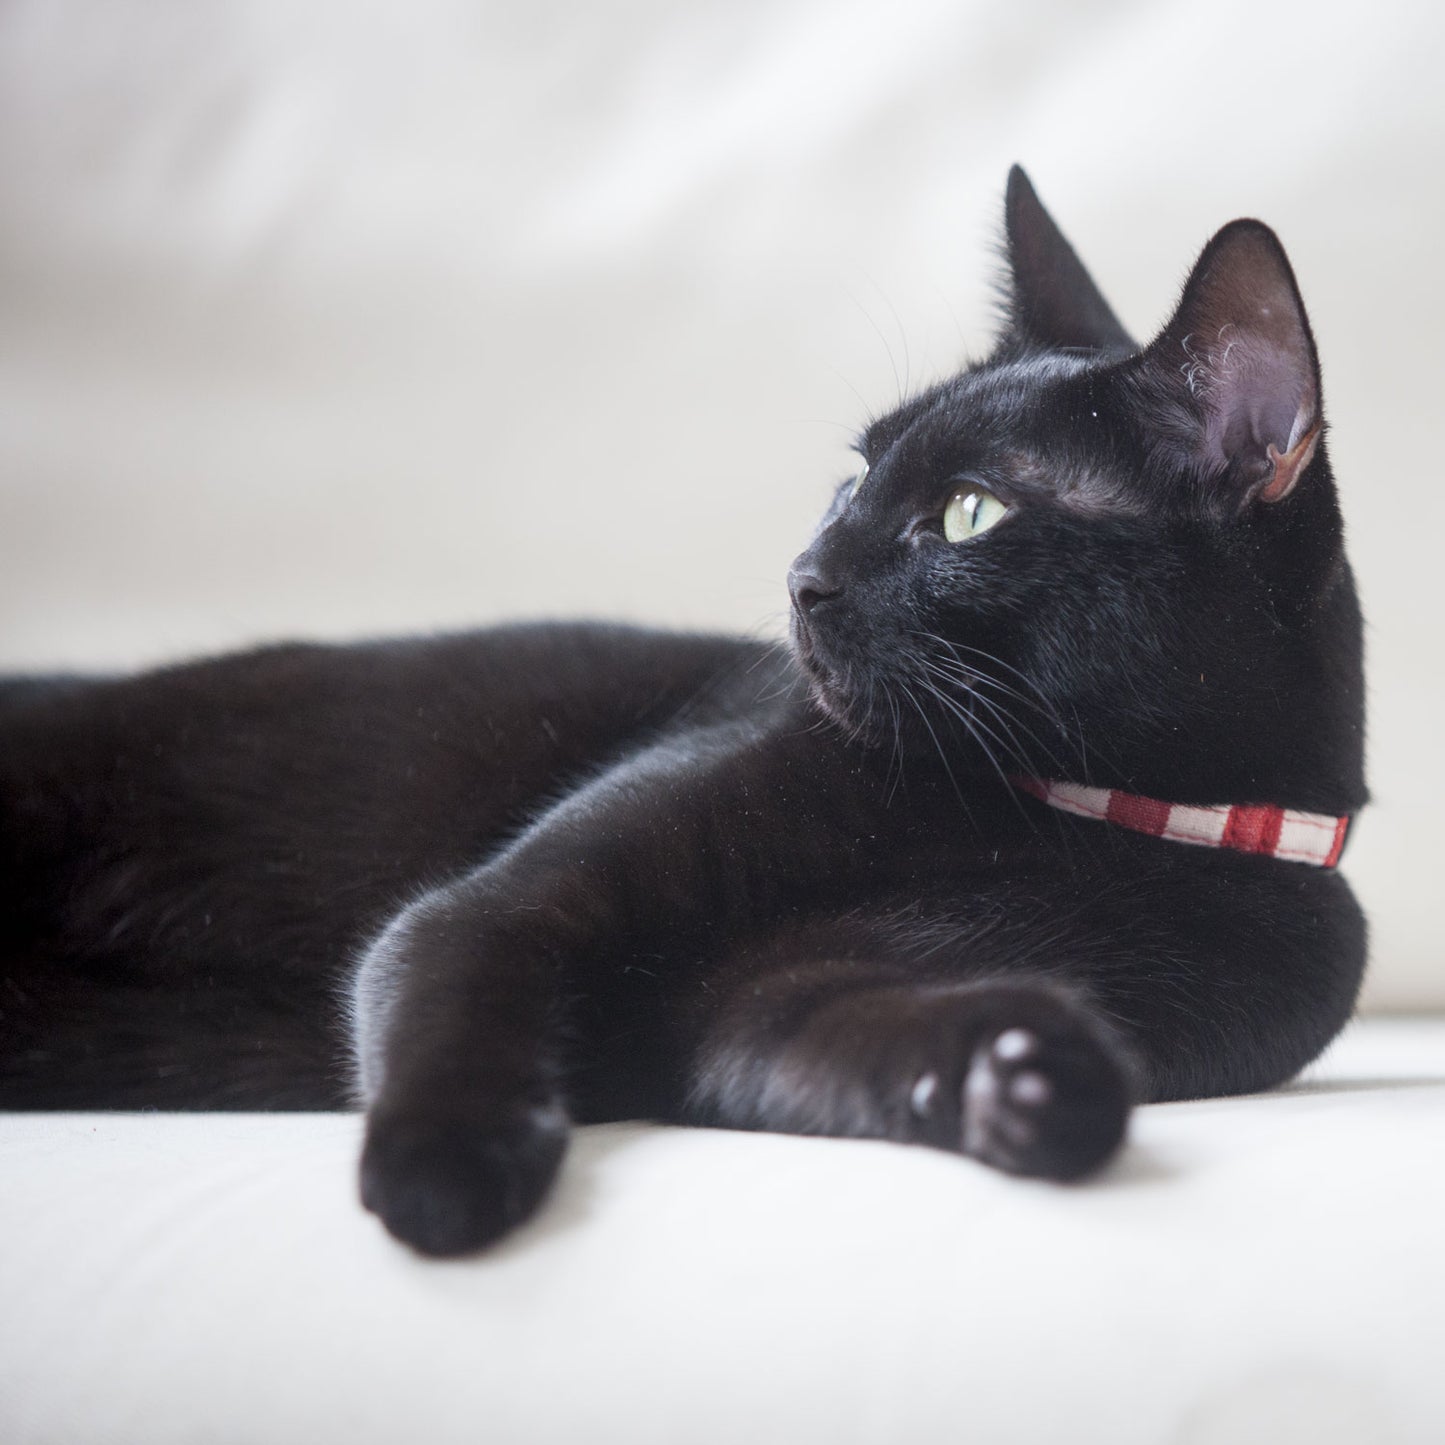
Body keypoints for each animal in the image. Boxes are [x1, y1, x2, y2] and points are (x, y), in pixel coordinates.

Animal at [0, 166, 1364, 1254]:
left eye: (970, 512)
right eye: (852, 475)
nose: (801, 575)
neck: (1049, 814)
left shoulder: (765, 1008)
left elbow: (869, 1035)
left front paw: (1031, 1079)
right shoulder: (507, 902)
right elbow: (453, 969)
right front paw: (444, 1175)